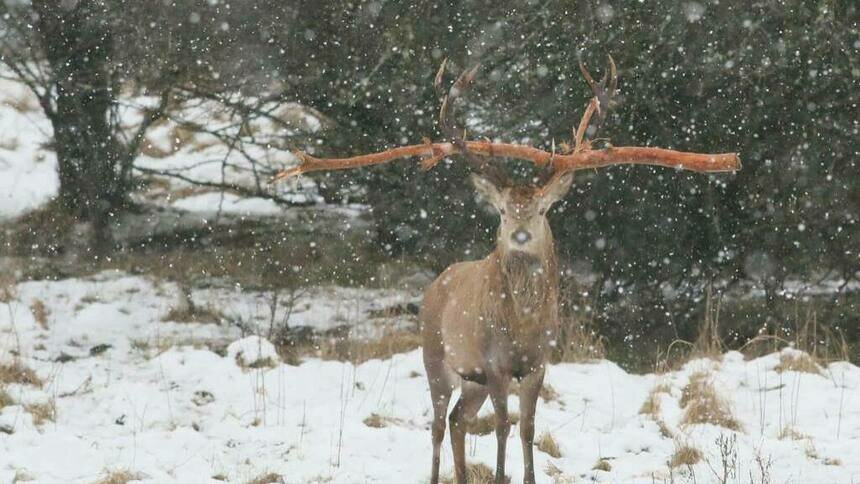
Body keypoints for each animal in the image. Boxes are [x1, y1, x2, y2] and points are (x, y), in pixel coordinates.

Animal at [276, 56, 740, 484]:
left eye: (541, 209)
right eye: (501, 210)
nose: (518, 234)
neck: (522, 326)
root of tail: (436, 285)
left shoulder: (538, 363)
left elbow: (528, 428)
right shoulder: (494, 363)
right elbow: (502, 426)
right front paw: (500, 476)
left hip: (472, 379)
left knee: (459, 420)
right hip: (436, 358)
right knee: (438, 425)